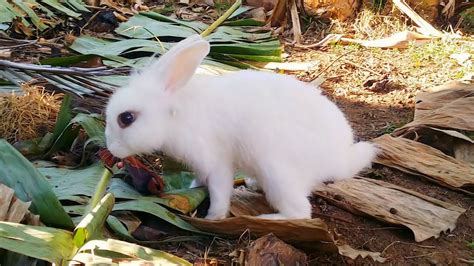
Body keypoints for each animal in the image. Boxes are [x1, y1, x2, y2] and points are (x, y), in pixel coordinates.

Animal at [104, 33, 378, 220]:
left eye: (126, 118)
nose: (110, 149)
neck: (175, 115)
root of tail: (339, 159)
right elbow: (199, 183)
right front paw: (192, 192)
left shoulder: (216, 162)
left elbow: (219, 191)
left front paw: (213, 217)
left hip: (277, 172)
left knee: (300, 212)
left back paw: (267, 219)